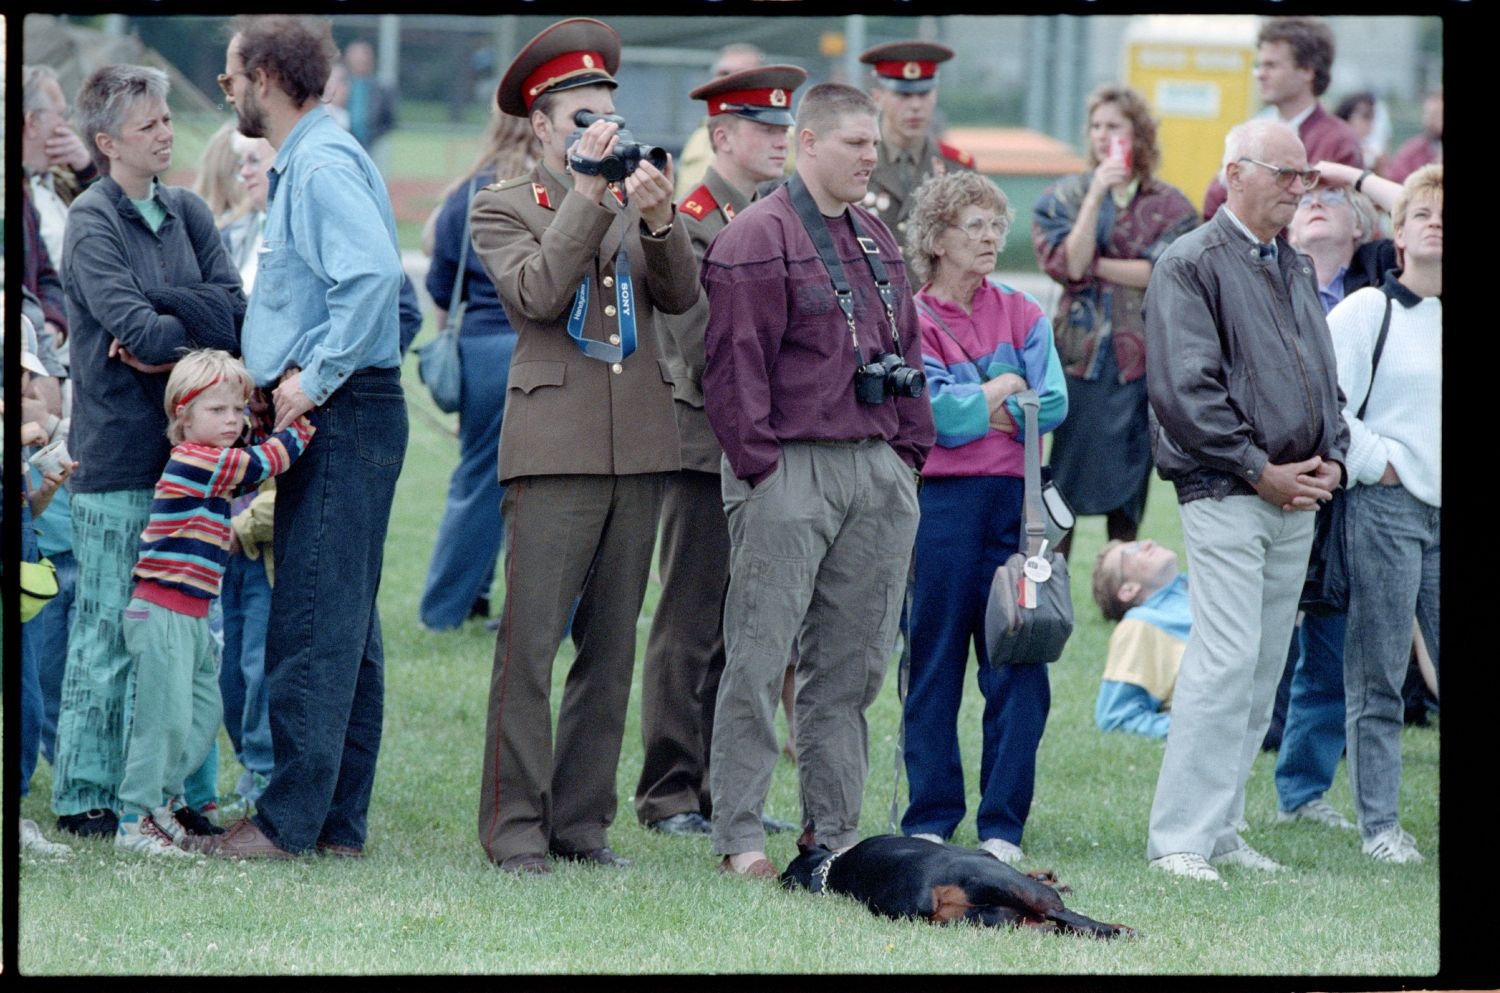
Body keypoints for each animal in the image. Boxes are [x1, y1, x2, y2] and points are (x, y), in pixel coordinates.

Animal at [786, 834, 1134, 936]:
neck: (831, 867)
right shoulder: (985, 856)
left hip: (1004, 919)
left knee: (1058, 927)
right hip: (1016, 888)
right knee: (1070, 918)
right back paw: (1122, 930)